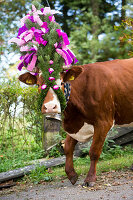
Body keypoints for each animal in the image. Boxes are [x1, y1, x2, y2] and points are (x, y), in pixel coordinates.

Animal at [19, 57, 133, 186]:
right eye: (38, 85)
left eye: (61, 83)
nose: (50, 107)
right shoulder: (75, 126)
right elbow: (68, 147)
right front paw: (71, 174)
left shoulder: (103, 122)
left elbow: (94, 151)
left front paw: (90, 178)